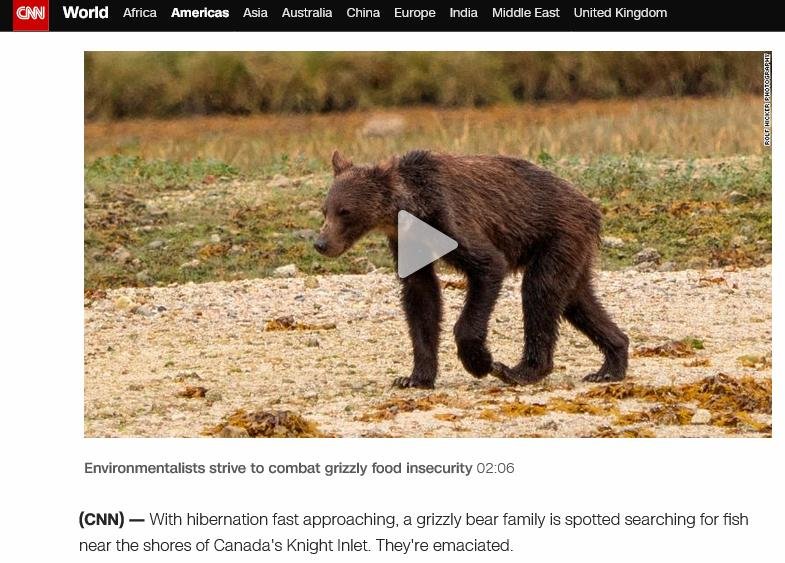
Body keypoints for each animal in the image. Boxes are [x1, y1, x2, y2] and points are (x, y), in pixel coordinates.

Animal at [314, 149, 629, 389]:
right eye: (325, 210)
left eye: (345, 211)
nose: (321, 243)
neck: (410, 212)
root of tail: (591, 205)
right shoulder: (408, 242)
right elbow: (421, 297)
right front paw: (414, 377)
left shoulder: (451, 218)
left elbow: (488, 266)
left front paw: (480, 361)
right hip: (571, 249)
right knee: (576, 299)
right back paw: (611, 364)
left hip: (558, 234)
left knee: (540, 291)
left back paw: (519, 370)